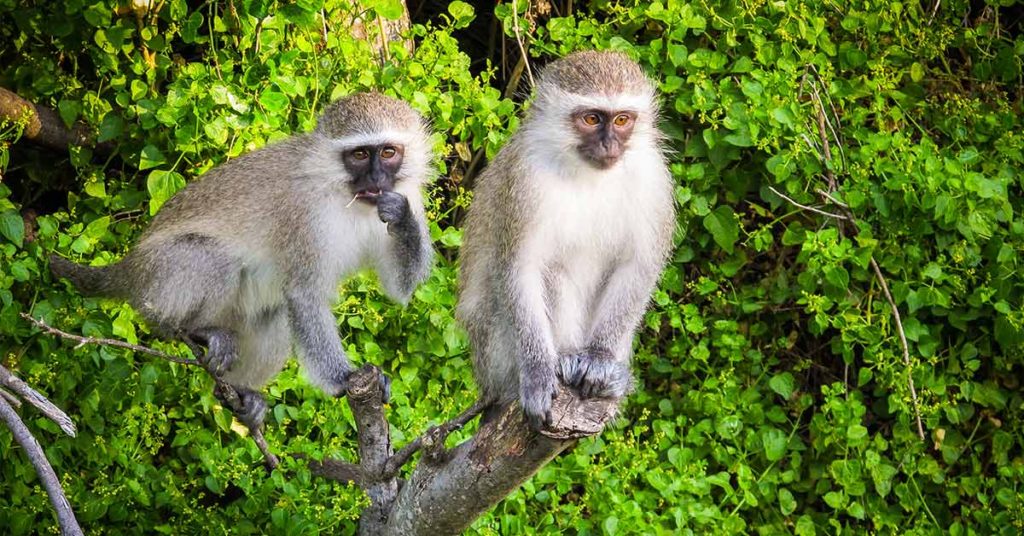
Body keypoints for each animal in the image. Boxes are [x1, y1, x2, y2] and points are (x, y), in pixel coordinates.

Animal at [50, 92, 435, 430]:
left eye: (388, 152)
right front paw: (344, 378)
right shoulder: (304, 214)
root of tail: (129, 266)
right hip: (157, 275)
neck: (341, 190)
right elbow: (304, 294)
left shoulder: (405, 195)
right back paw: (187, 330)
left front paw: (400, 217)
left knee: (276, 313)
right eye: (359, 154)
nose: (376, 179)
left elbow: (398, 288)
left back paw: (241, 393)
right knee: (212, 263)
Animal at [457, 50, 676, 429]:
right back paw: (566, 359)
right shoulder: (525, 180)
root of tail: (487, 385)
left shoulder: (653, 178)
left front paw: (601, 358)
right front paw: (538, 375)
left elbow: (638, 265)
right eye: (591, 119)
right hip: (496, 353)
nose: (609, 145)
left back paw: (611, 378)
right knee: (551, 272)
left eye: (622, 120)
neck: (587, 173)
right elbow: (521, 269)